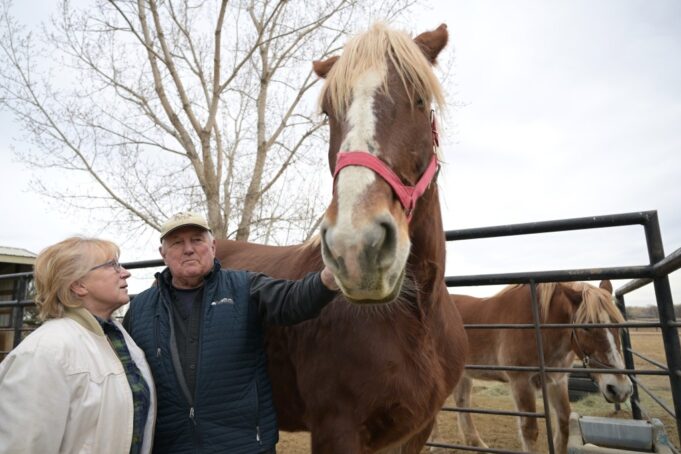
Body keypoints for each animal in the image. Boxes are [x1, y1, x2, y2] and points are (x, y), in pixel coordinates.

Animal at [215, 23, 467, 453]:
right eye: (328, 113)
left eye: (420, 100)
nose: (356, 247)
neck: (416, 321)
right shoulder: (337, 429)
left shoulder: (417, 430)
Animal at [429, 280, 632, 454]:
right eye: (587, 327)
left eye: (617, 324)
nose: (620, 389)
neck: (539, 325)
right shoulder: (522, 382)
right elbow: (529, 430)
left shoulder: (557, 381)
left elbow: (564, 423)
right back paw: (436, 443)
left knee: (462, 403)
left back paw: (476, 443)